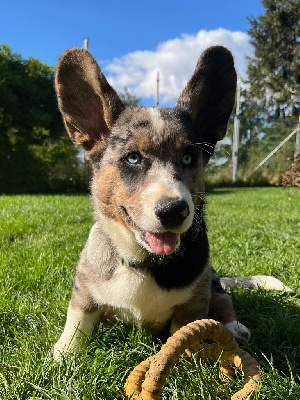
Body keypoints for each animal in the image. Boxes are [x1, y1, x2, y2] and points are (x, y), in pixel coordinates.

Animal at [52, 45, 250, 358]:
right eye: (133, 158)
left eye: (188, 159)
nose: (174, 211)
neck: (142, 261)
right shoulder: (84, 287)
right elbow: (78, 319)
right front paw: (63, 354)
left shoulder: (196, 299)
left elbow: (187, 331)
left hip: (214, 281)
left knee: (223, 302)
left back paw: (234, 327)